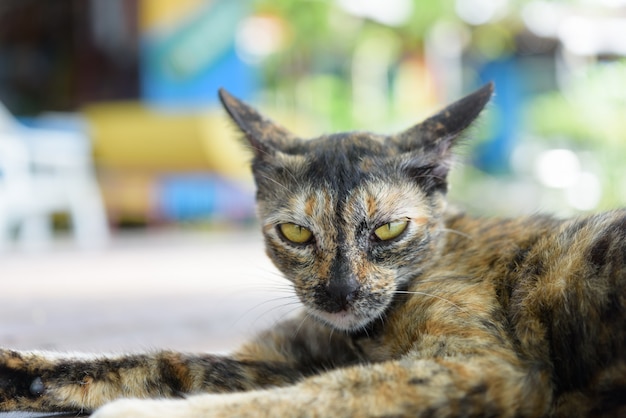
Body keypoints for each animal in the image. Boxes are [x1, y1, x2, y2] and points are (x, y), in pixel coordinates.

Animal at [1, 82, 624, 418]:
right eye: (296, 234)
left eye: (389, 230)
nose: (340, 293)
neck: (360, 336)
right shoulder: (275, 359)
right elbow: (157, 361)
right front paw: (18, 373)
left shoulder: (478, 366)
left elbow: (321, 395)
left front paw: (133, 411)